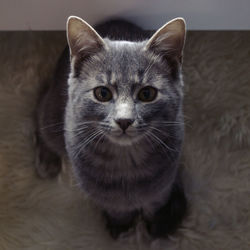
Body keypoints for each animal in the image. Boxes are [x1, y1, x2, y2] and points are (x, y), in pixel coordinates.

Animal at [35, 15, 188, 238]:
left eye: (147, 94)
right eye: (103, 93)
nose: (124, 120)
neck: (126, 161)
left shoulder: (162, 186)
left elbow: (153, 205)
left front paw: (152, 225)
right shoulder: (102, 193)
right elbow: (117, 209)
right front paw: (121, 225)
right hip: (53, 115)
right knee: (40, 109)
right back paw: (46, 160)